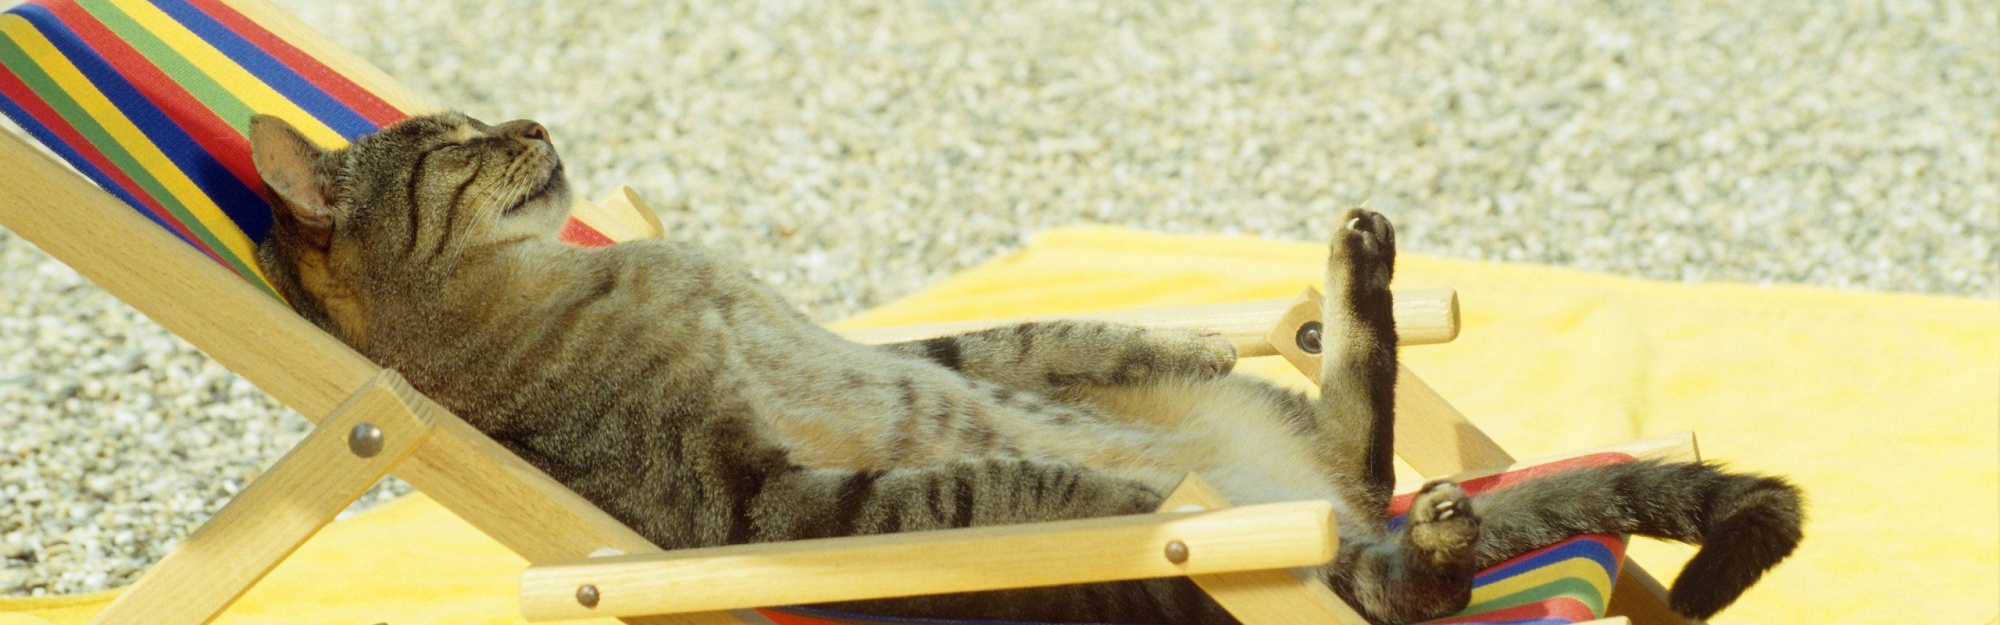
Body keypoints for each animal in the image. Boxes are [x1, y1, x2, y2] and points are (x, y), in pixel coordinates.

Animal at [246, 113, 1800, 625]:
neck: (561, 277)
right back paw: (1418, 534)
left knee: (1361, 445)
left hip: (1289, 433)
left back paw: (1354, 284)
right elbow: (974, 486)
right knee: (1397, 585)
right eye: (458, 141)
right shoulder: (748, 508)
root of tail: (1347, 523)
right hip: (1228, 571)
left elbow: (1010, 345)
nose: (527, 120)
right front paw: (1101, 487)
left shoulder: (872, 338)